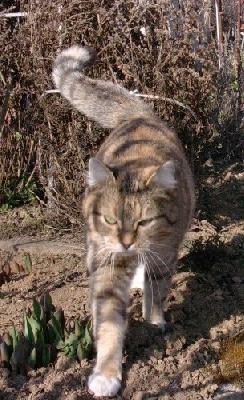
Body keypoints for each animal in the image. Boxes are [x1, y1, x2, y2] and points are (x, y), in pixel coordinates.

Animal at [53, 46, 194, 396]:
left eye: (144, 222)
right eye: (109, 219)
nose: (126, 242)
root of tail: (138, 116)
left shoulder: (164, 252)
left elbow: (157, 291)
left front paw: (154, 324)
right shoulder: (108, 260)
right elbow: (109, 319)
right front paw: (106, 373)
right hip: (96, 248)